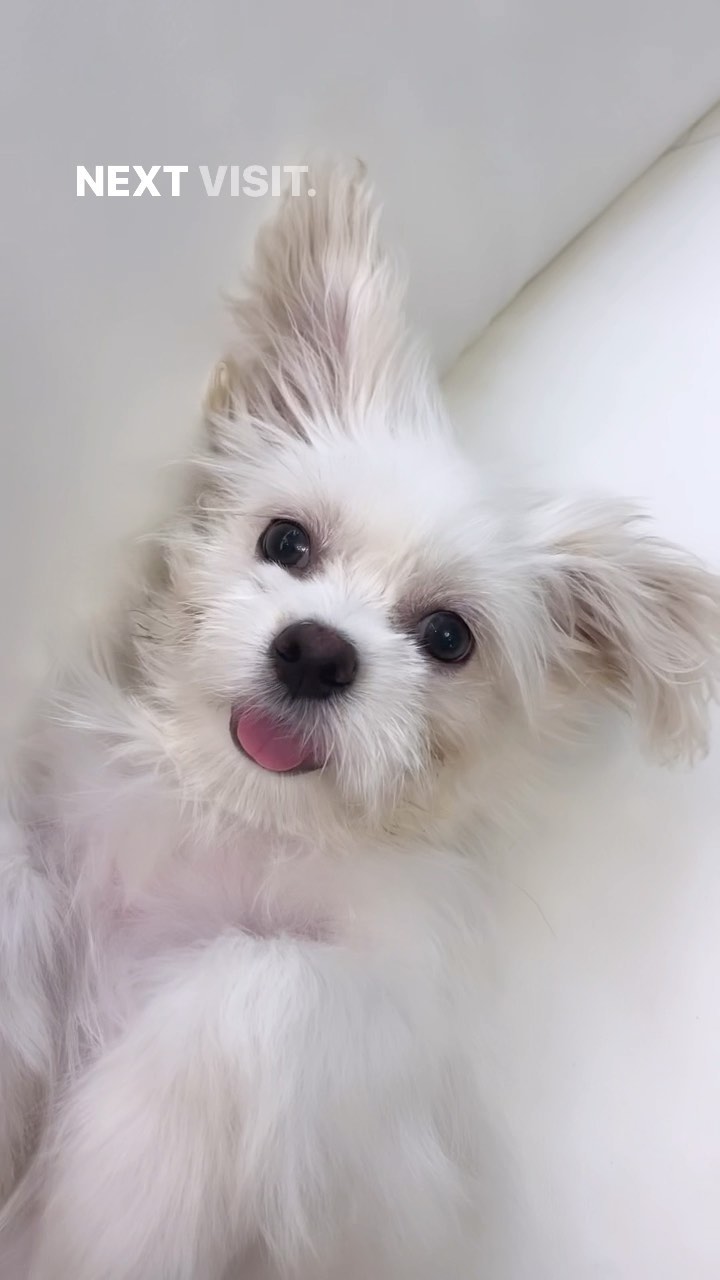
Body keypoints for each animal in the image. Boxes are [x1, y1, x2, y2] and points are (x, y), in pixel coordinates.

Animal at [1, 164, 719, 1279]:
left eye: (449, 635)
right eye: (286, 541)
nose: (314, 650)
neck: (245, 818)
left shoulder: (382, 1087)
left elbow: (263, 984)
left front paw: (107, 1206)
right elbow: (13, 873)